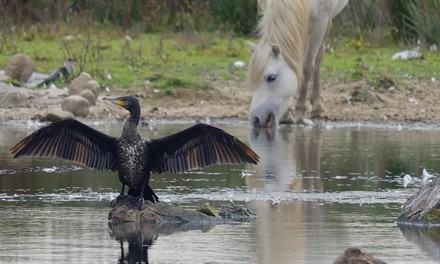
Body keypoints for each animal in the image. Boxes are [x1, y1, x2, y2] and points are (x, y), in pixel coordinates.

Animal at [248, 0, 348, 128]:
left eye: (271, 77)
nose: (255, 119)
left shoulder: (321, 21)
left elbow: (307, 66)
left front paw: (300, 112)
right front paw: (286, 115)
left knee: (318, 56)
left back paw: (318, 108)